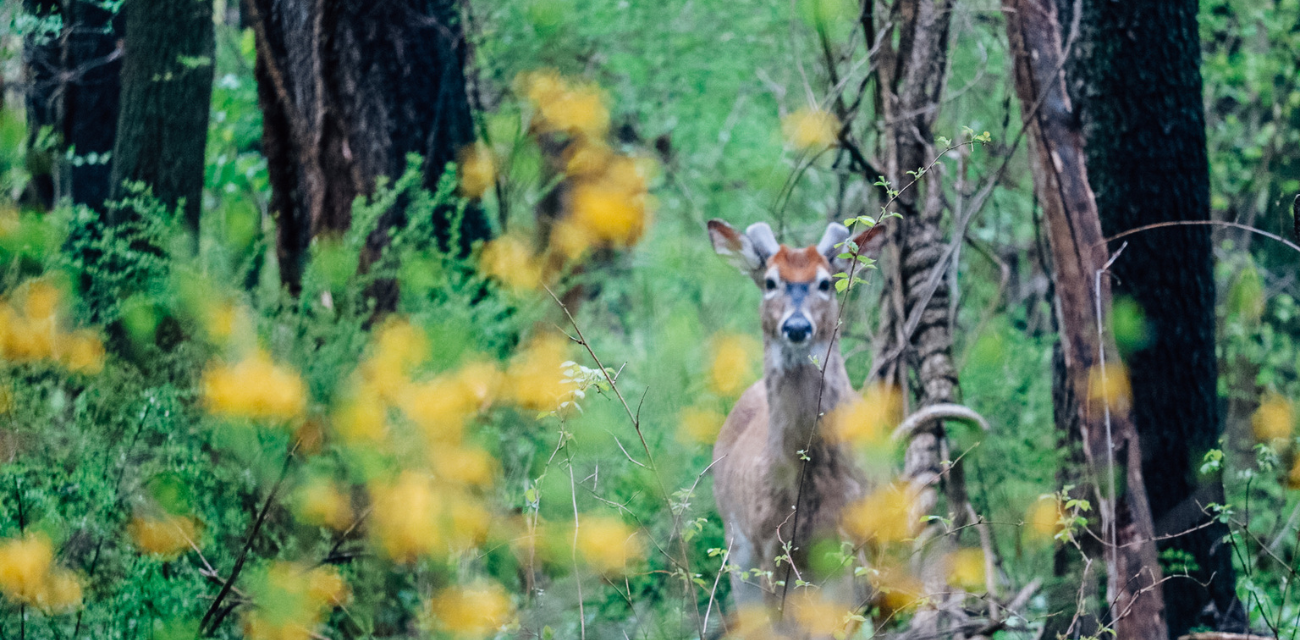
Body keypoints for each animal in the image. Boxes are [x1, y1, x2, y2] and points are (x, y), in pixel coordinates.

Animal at [712, 217, 982, 626]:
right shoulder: (767, 546)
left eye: (825, 282)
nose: (796, 326)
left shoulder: (851, 546)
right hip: (737, 551)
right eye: (770, 281)